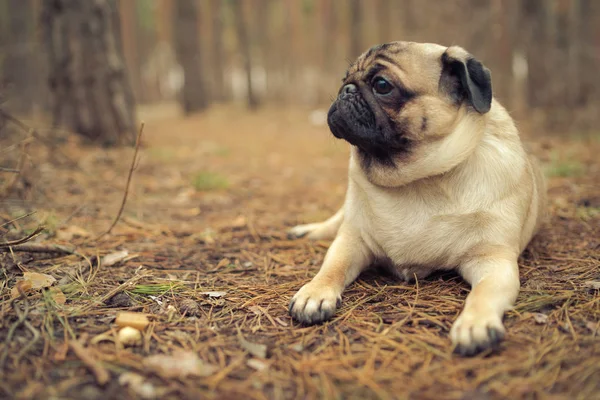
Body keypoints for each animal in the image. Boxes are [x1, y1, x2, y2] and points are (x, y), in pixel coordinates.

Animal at [288, 41, 548, 356]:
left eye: (382, 85)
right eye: (344, 79)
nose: (345, 90)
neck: (417, 180)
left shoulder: (494, 261)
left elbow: (483, 293)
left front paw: (475, 323)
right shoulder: (353, 239)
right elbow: (331, 267)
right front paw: (314, 292)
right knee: (335, 221)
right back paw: (307, 231)